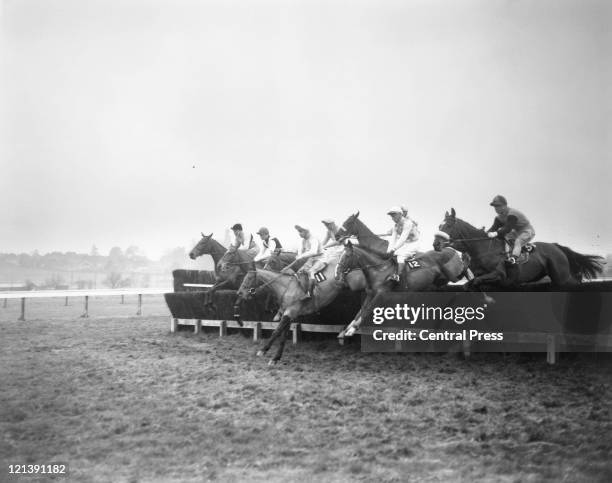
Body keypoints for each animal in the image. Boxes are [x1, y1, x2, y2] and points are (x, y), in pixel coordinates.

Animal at [438, 208, 604, 288]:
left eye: (448, 225)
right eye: (440, 226)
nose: (435, 243)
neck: (482, 249)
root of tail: (557, 247)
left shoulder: (499, 275)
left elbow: (477, 281)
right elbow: (469, 284)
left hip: (561, 277)